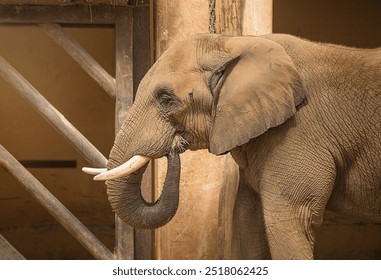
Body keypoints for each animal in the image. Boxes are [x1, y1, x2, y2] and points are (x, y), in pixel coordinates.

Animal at [82, 34, 380, 260]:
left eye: (166, 99)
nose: (175, 146)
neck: (234, 43)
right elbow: (248, 220)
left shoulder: (297, 132)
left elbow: (291, 218)